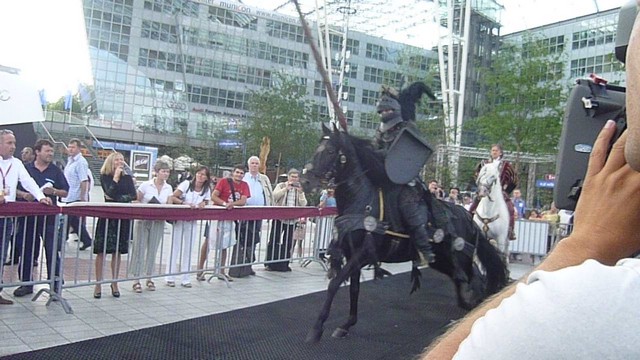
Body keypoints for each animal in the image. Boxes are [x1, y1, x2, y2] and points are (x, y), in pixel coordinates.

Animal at [302, 126, 508, 344]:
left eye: (330, 151)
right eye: (317, 148)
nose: (305, 181)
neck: (361, 200)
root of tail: (468, 217)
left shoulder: (363, 254)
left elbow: (334, 284)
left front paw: (316, 329)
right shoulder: (352, 255)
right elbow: (354, 289)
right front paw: (346, 324)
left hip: (460, 256)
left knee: (475, 278)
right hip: (442, 260)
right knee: (461, 279)